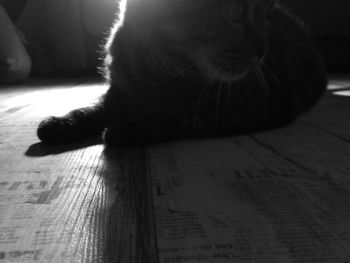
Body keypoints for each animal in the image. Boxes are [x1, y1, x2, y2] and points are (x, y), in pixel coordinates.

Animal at [37, 0, 326, 146]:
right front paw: (62, 123)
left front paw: (127, 129)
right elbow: (93, 108)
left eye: (266, 14)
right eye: (235, 10)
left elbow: (183, 118)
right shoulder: (118, 92)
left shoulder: (262, 106)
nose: (263, 51)